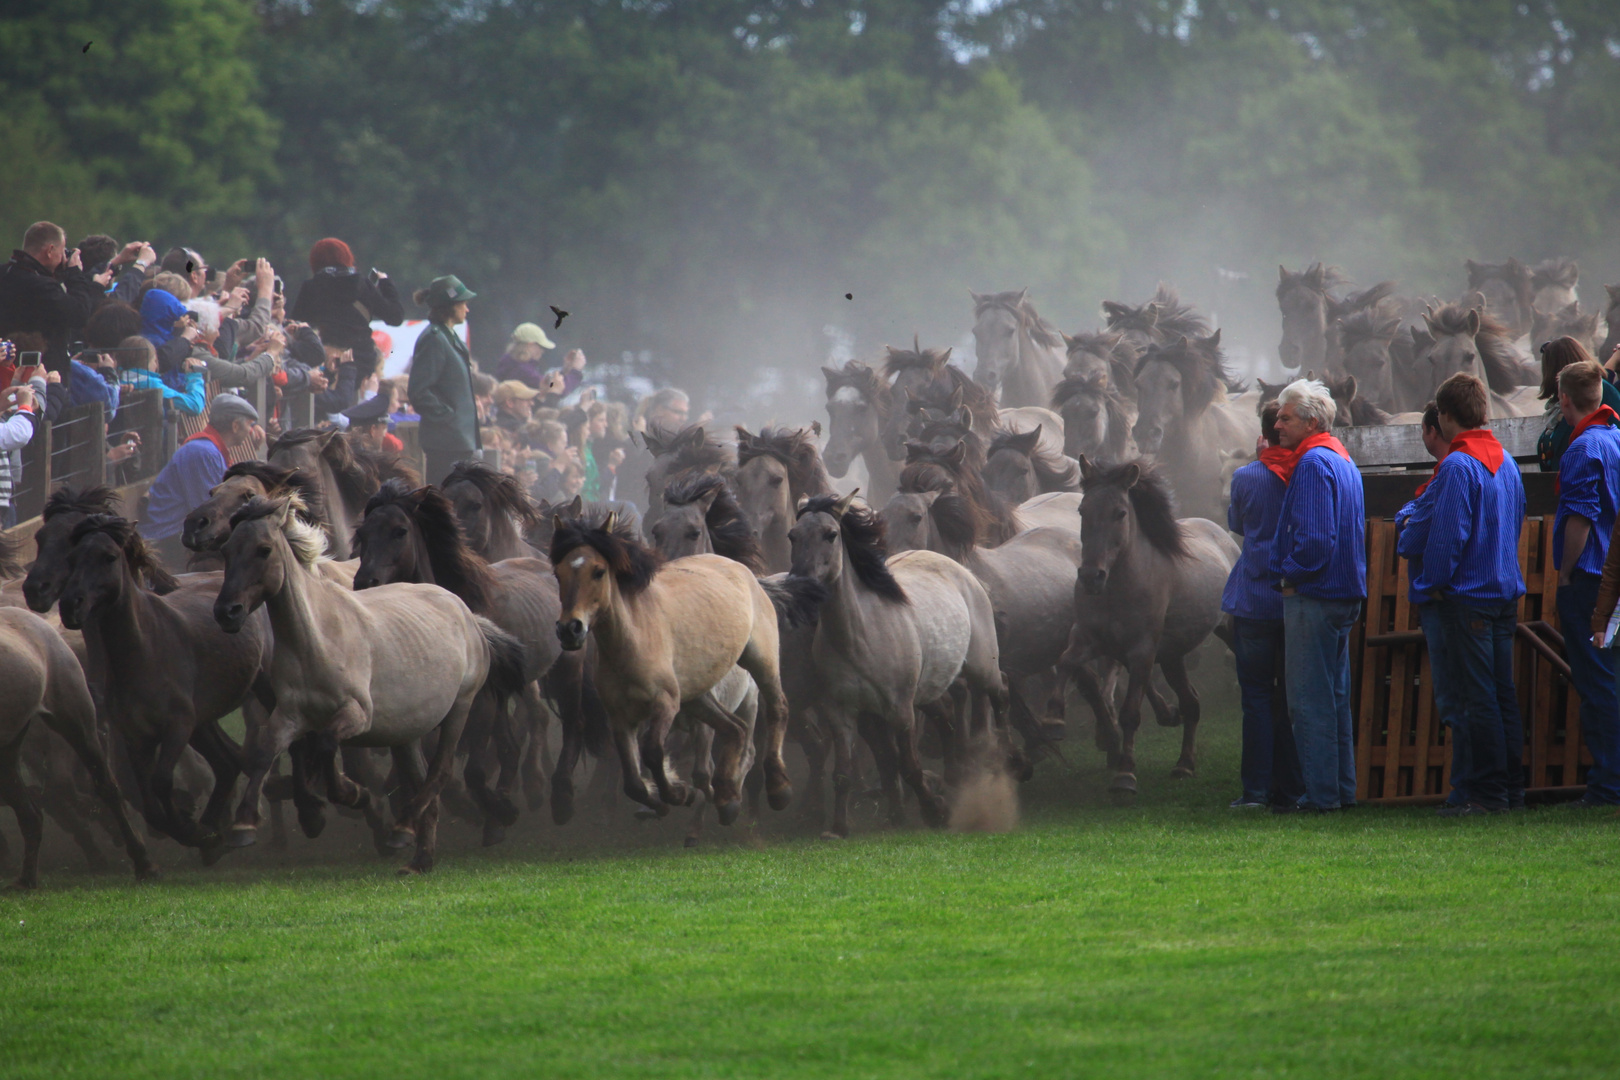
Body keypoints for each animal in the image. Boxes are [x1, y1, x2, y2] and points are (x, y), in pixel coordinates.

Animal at [212, 495, 521, 874]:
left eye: (263, 549)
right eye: (226, 550)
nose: (227, 612)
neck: (317, 638)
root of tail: (466, 612)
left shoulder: (358, 714)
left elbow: (327, 745)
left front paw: (353, 794)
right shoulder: (290, 715)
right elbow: (267, 751)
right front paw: (246, 824)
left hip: (459, 709)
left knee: (439, 773)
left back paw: (406, 825)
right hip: (407, 730)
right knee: (421, 779)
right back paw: (420, 858)